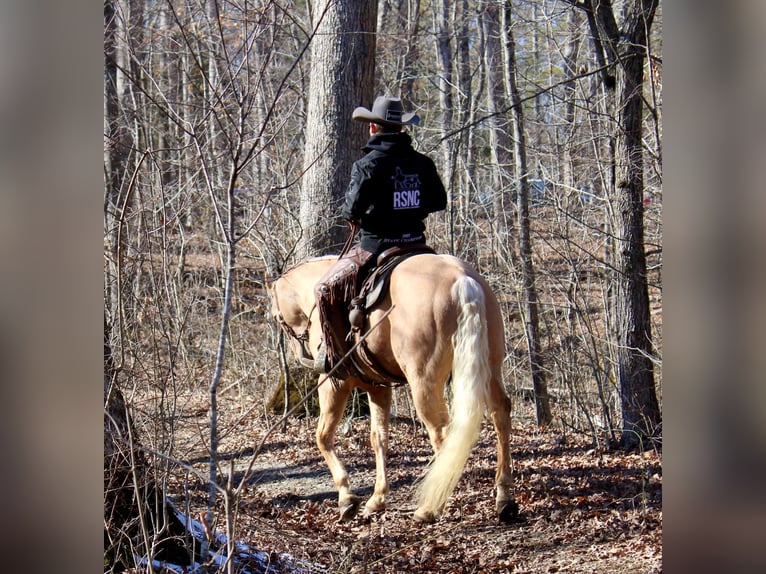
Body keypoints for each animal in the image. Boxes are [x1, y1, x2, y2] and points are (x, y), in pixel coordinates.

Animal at [266, 252, 520, 524]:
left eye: (276, 316)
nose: (302, 355)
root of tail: (463, 280)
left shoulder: (334, 383)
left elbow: (323, 436)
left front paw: (346, 498)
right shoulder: (378, 387)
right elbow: (379, 438)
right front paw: (377, 500)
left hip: (423, 381)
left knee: (441, 432)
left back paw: (431, 507)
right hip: (490, 367)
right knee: (500, 413)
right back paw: (504, 497)